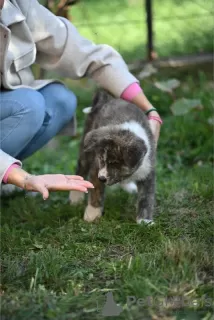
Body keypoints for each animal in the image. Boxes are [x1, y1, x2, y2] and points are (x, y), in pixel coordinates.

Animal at [69, 89, 156, 225]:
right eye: (101, 159)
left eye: (115, 163)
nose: (102, 178)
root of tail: (106, 99)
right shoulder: (96, 168)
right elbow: (96, 191)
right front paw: (93, 213)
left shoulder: (148, 169)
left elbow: (146, 197)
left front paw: (145, 221)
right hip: (86, 150)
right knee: (81, 170)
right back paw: (75, 197)